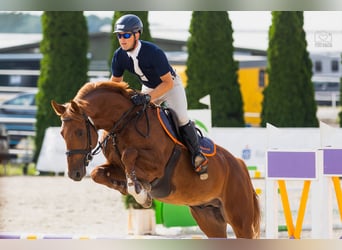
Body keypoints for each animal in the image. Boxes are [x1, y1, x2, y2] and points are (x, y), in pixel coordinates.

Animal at [50, 81, 260, 238]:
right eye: (61, 133)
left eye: (79, 132)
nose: (75, 173)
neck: (124, 123)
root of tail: (239, 163)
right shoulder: (116, 167)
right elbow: (97, 173)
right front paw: (126, 187)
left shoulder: (157, 166)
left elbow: (129, 154)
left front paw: (139, 192)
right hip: (208, 216)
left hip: (239, 218)